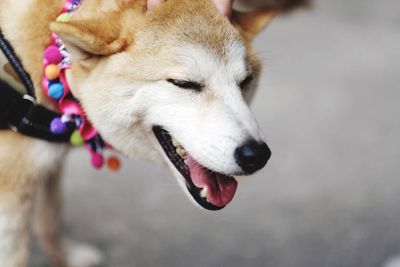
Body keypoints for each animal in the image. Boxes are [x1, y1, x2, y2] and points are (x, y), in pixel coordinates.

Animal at [0, 0, 306, 266]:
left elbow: (51, 217)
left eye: (245, 82)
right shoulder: (11, 196)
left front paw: (65, 257)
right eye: (184, 83)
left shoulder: (49, 162)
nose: (256, 155)